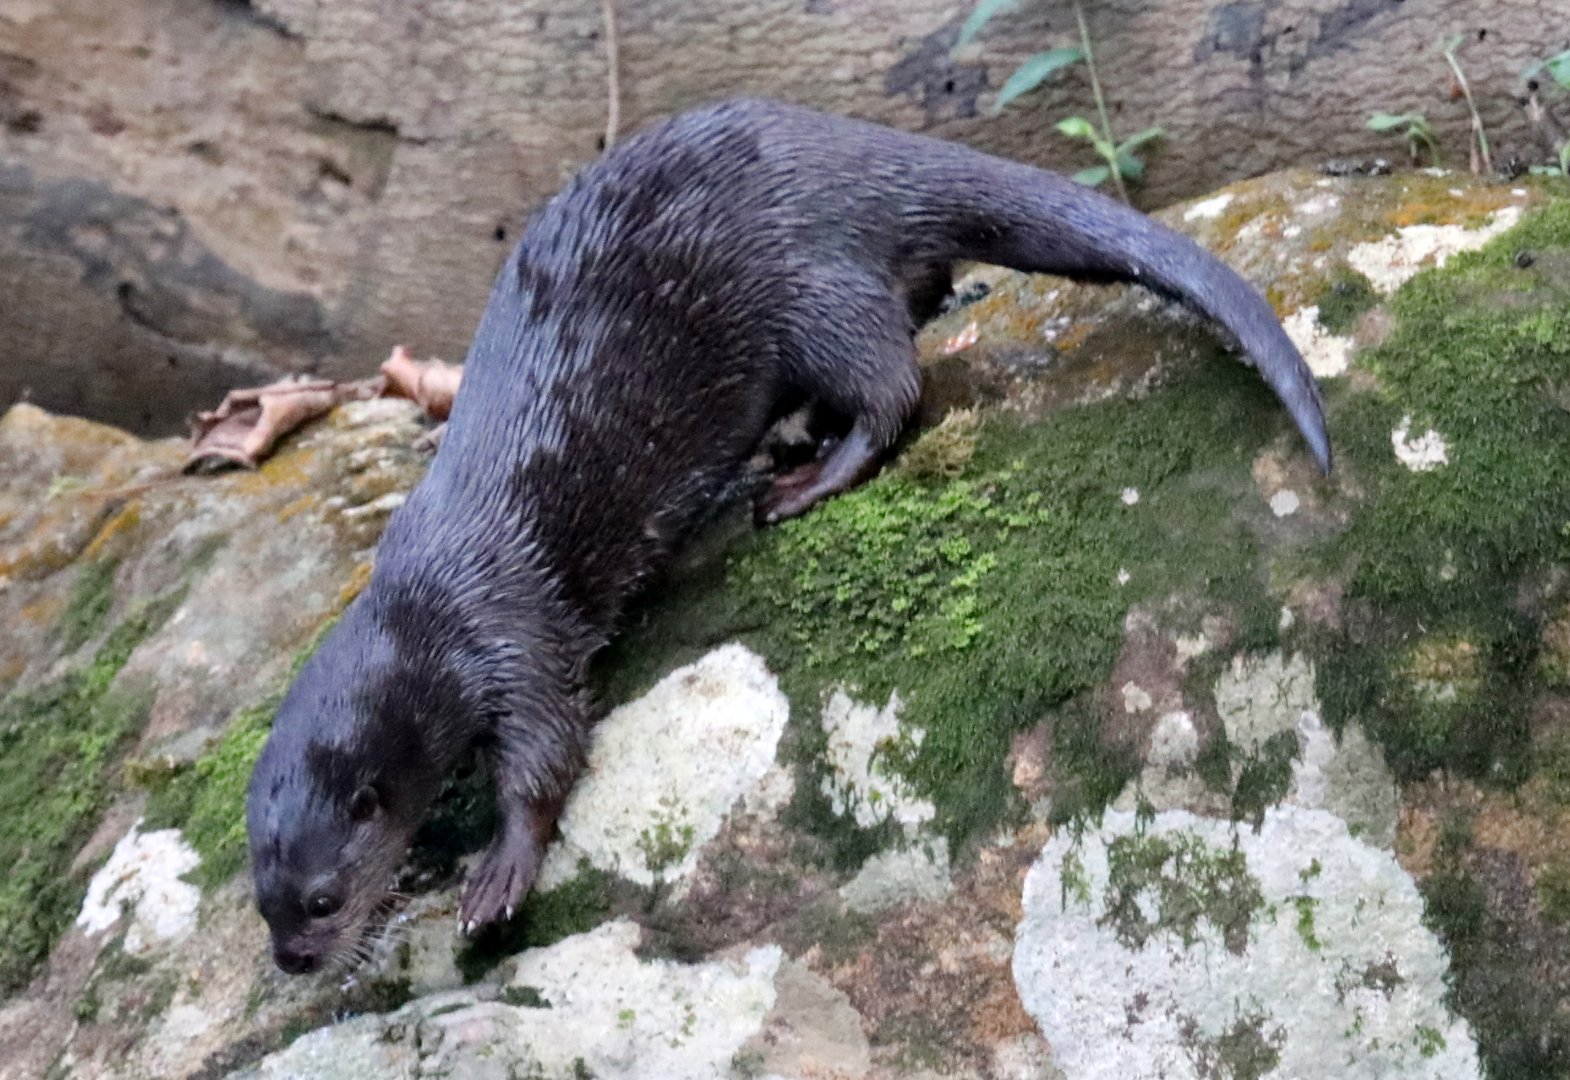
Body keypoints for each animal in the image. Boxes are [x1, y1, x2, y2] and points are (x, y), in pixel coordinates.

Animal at [246, 99, 1330, 974]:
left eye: (322, 900)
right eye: (264, 903)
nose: (295, 962)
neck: (426, 601)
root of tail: (848, 152)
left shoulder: (512, 634)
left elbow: (550, 750)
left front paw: (499, 873)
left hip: (805, 286)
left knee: (895, 377)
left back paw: (803, 478)